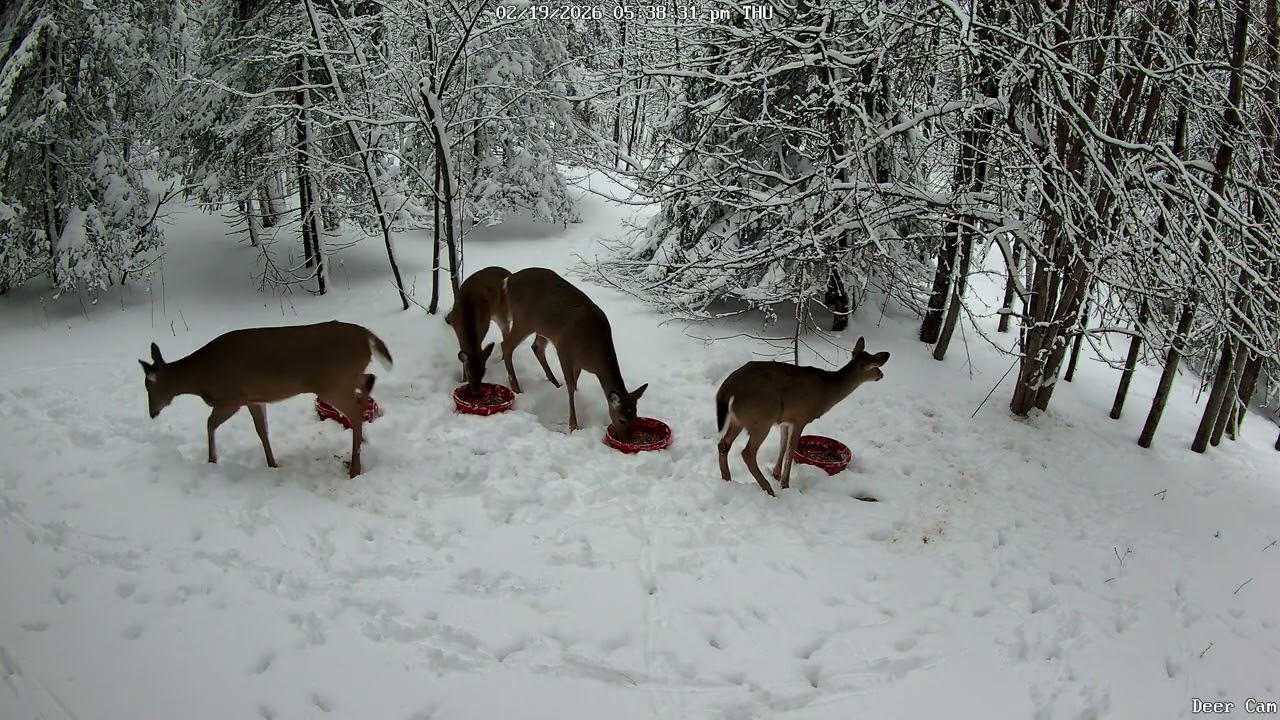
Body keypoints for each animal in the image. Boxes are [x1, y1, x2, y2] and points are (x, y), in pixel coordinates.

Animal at [137, 320, 393, 479]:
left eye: (147, 384)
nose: (152, 413)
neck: (200, 378)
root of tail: (367, 336)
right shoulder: (253, 399)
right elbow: (262, 431)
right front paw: (273, 464)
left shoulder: (231, 399)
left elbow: (209, 423)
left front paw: (212, 460)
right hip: (346, 377)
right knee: (369, 380)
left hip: (333, 382)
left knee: (356, 410)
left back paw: (354, 469)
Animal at [500, 267, 648, 440]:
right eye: (622, 420)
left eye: (635, 417)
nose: (627, 439)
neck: (593, 355)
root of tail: (508, 280)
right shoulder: (564, 350)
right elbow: (570, 386)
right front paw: (573, 425)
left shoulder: (578, 362)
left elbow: (575, 383)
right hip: (524, 320)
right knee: (506, 345)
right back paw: (516, 388)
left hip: (543, 327)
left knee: (536, 347)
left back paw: (554, 383)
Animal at [714, 336, 889, 497]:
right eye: (875, 366)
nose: (881, 375)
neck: (826, 392)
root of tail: (729, 386)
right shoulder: (800, 418)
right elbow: (791, 449)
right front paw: (785, 484)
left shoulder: (785, 420)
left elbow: (782, 445)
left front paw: (776, 474)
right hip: (761, 417)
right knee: (747, 453)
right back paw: (768, 490)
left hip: (739, 419)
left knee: (723, 444)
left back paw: (727, 479)